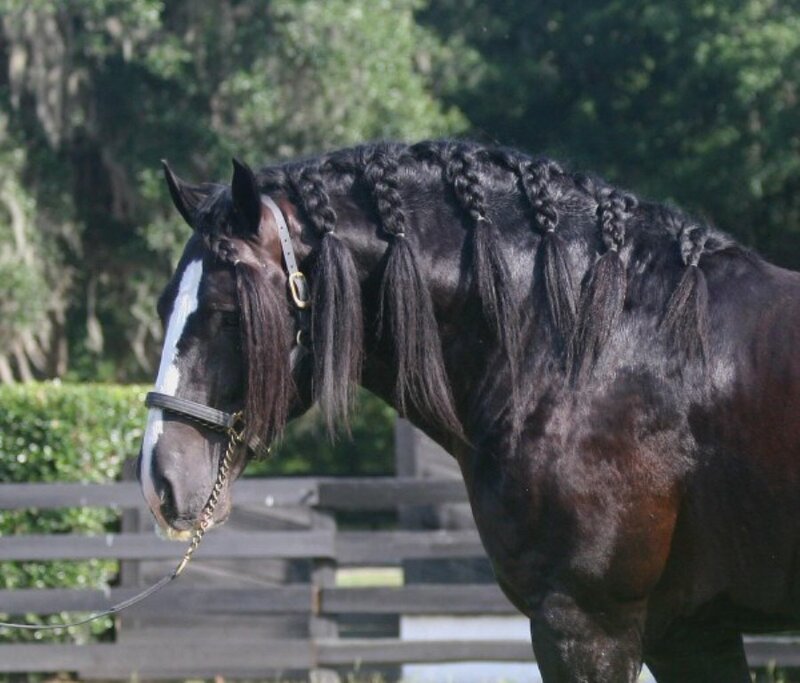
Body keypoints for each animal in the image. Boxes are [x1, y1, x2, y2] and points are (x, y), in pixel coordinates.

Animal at [137, 139, 800, 682]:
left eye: (226, 313)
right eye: (167, 303)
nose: (159, 480)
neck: (596, 349)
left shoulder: (587, 624)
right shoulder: (691, 630)